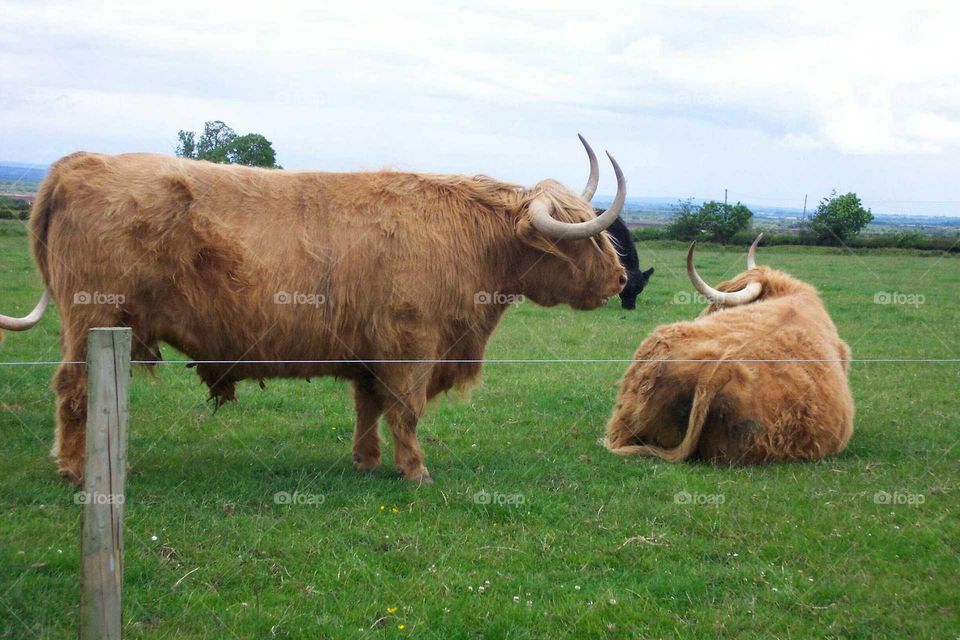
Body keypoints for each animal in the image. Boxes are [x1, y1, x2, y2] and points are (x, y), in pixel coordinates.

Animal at [1, 136, 632, 484]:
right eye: (584, 236)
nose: (621, 277)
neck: (473, 241)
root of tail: (77, 163)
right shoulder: (411, 348)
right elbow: (405, 412)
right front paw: (416, 471)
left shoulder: (372, 354)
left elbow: (368, 409)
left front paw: (367, 461)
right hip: (92, 320)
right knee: (73, 389)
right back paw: (76, 469)